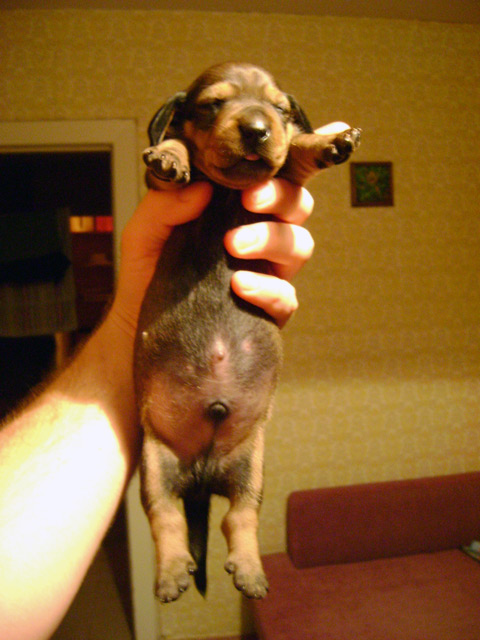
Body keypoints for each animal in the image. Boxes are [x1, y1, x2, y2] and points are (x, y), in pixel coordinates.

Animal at [134, 62, 360, 603]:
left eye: (279, 108)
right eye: (213, 104)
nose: (257, 130)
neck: (225, 191)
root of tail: (201, 478)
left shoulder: (286, 182)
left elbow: (294, 154)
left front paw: (326, 142)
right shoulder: (161, 191)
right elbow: (175, 150)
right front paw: (170, 155)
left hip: (250, 468)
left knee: (239, 519)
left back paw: (251, 570)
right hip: (155, 464)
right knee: (167, 518)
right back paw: (172, 573)